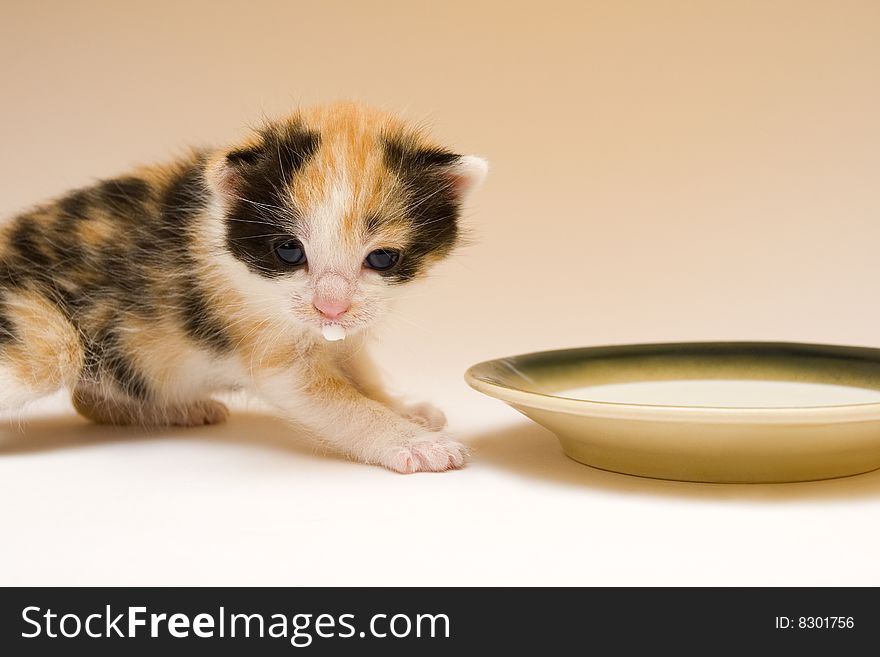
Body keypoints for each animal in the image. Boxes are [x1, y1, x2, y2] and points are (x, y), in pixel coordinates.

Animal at [0, 101, 488, 472]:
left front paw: (403, 407)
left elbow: (357, 360)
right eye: (289, 251)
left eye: (383, 258)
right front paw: (413, 442)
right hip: (44, 336)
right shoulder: (269, 347)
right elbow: (337, 401)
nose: (330, 309)